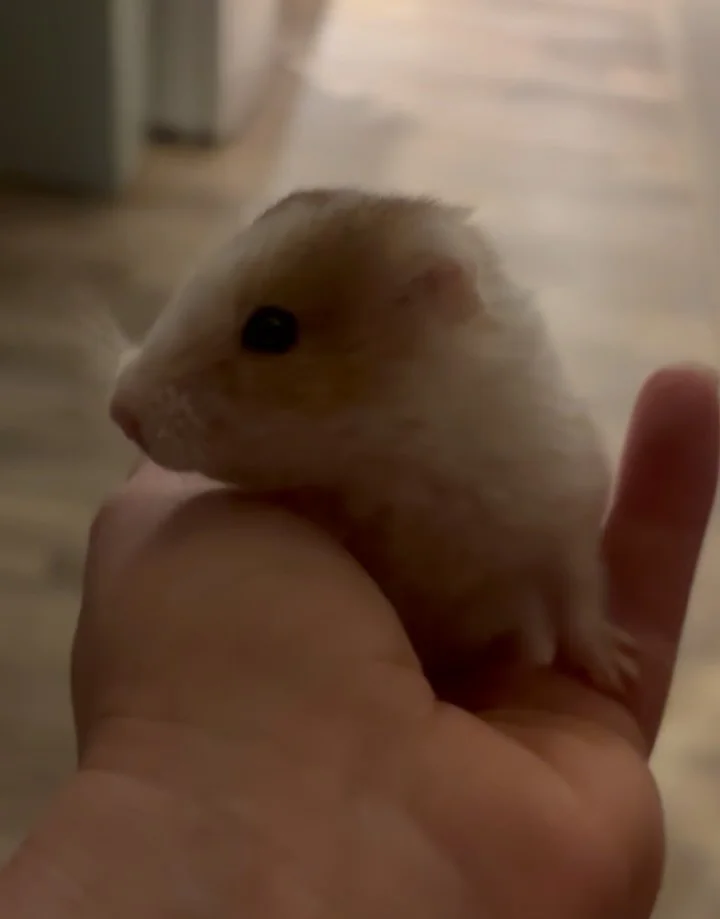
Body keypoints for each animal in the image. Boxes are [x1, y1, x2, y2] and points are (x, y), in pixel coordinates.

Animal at [109, 187, 634, 688]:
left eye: (272, 328)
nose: (119, 412)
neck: (396, 453)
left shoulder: (567, 509)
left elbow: (579, 592)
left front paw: (618, 671)